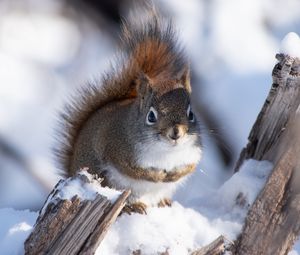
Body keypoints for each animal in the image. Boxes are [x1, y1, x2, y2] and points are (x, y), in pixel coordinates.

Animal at [55, 6, 202, 213]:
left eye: (191, 114)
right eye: (151, 116)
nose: (176, 133)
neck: (166, 151)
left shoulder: (194, 151)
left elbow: (191, 166)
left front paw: (174, 175)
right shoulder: (118, 149)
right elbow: (134, 170)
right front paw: (157, 176)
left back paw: (164, 202)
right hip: (107, 180)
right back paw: (134, 206)